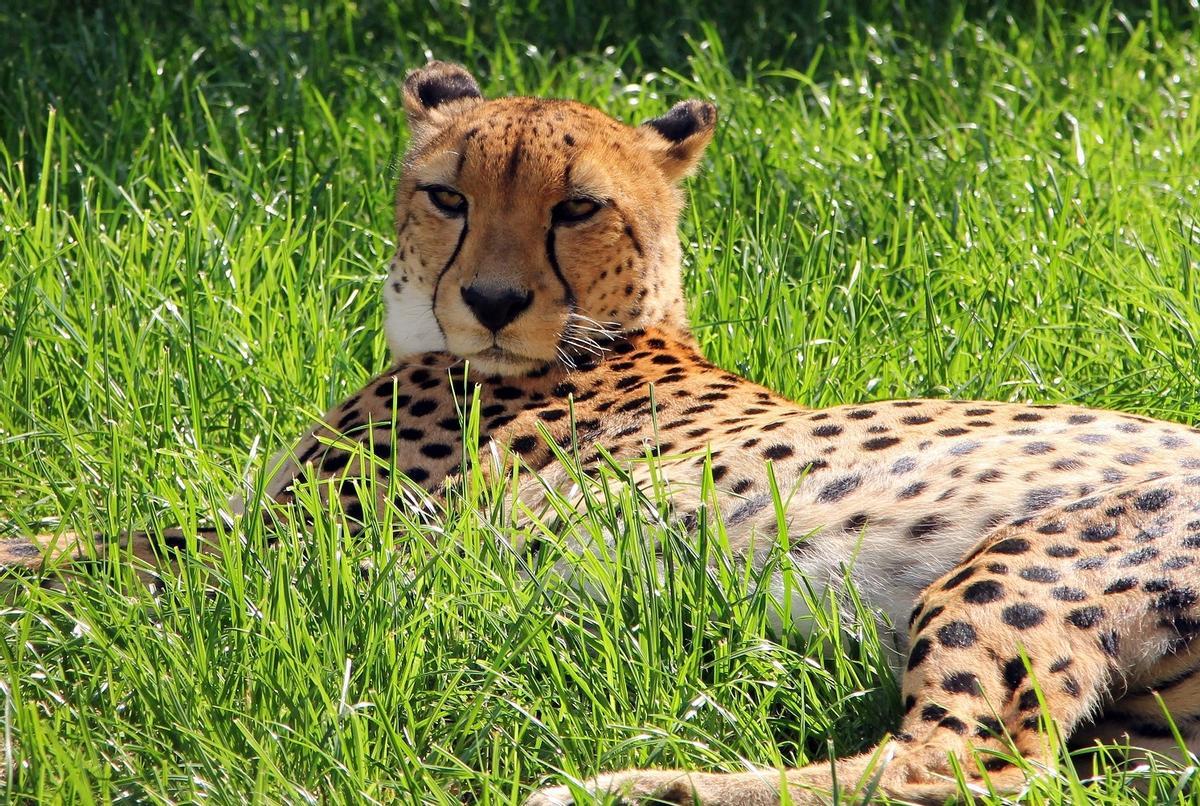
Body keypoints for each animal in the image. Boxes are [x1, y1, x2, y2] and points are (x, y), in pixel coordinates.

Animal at [6, 61, 1200, 804]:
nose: (490, 300)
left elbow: (77, 551)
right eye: (446, 195)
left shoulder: (311, 550)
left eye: (577, 208)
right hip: (1145, 736)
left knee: (954, 771)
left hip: (1011, 569)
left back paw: (618, 787)